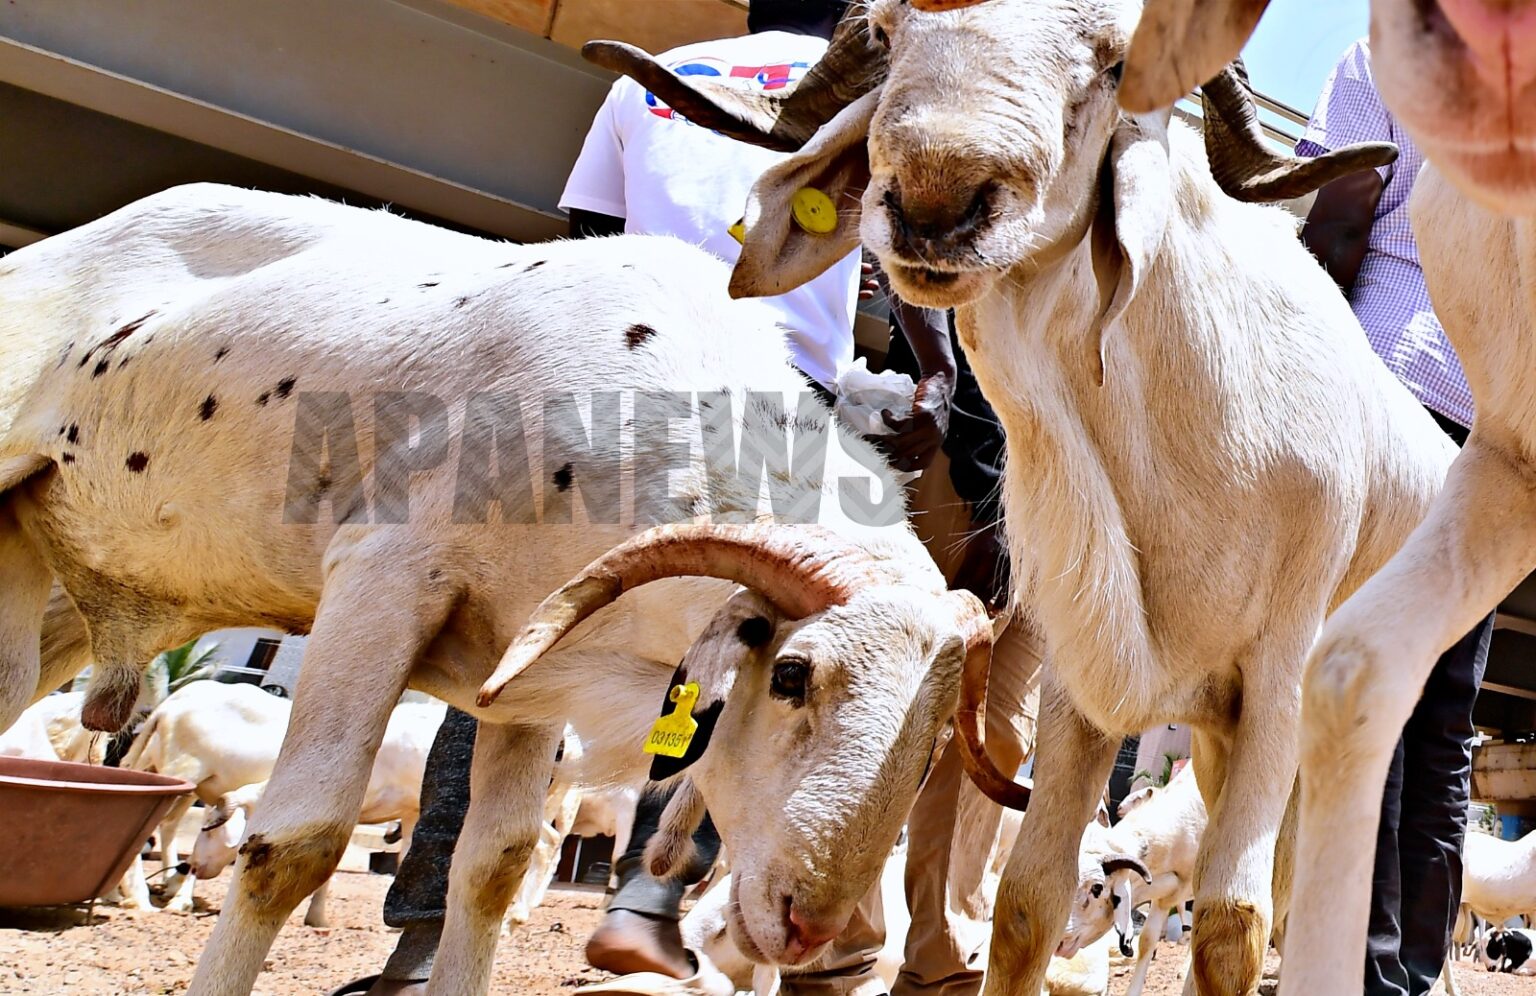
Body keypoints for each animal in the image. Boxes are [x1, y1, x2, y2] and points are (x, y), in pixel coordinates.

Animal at [0, 182, 1013, 995]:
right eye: (794, 675)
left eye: (934, 743)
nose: (808, 926)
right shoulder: (379, 584)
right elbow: (296, 846)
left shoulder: (528, 665)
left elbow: (492, 869)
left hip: (54, 577)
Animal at [585, 3, 1455, 994]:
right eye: (885, 32)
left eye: (1117, 64)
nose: (934, 201)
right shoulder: (1083, 669)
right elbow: (1028, 898)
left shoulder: (1278, 667)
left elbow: (1233, 921)